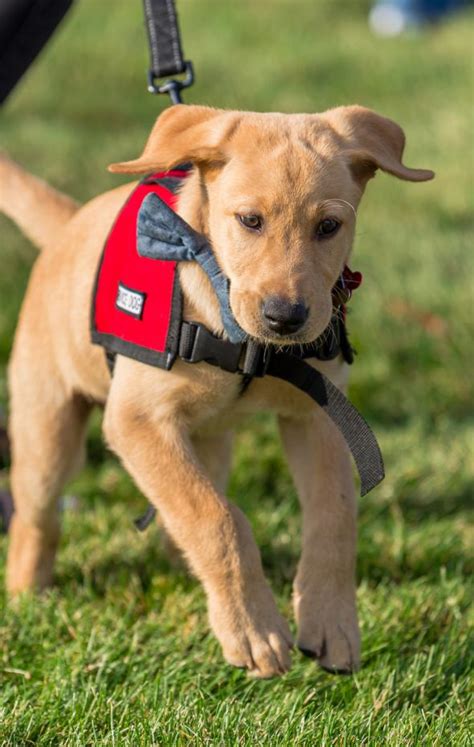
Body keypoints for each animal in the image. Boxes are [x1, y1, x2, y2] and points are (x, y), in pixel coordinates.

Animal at [0, 106, 434, 676]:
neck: (240, 338)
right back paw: (27, 596)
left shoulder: (316, 418)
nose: (285, 318)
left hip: (208, 442)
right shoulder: (137, 421)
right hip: (48, 434)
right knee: (38, 520)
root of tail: (68, 227)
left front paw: (331, 622)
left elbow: (334, 517)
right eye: (249, 221)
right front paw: (254, 631)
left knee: (181, 503)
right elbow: (217, 519)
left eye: (329, 226)